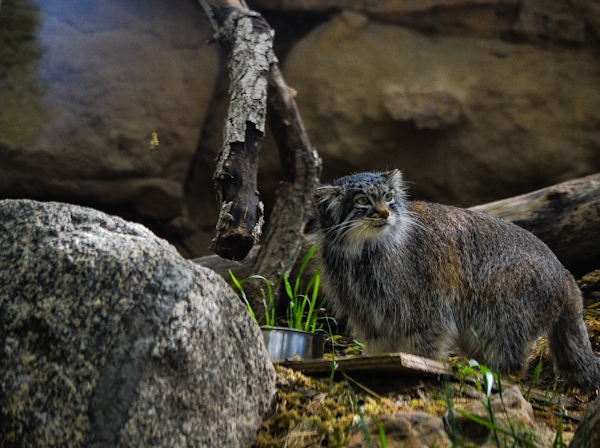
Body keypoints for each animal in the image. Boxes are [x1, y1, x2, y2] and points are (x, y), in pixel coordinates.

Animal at [312, 170, 600, 390]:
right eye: (362, 200)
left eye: (388, 197)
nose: (385, 214)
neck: (361, 254)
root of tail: (567, 277)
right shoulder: (369, 314)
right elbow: (380, 348)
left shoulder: (425, 308)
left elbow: (426, 346)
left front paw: (425, 366)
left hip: (503, 311)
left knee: (511, 358)